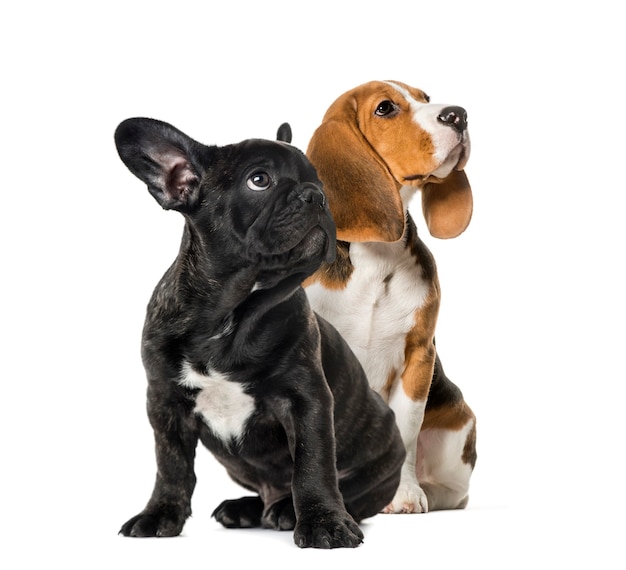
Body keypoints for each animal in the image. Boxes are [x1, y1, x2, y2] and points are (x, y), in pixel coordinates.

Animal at [114, 116, 402, 544]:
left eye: (319, 180)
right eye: (259, 180)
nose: (316, 196)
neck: (231, 314)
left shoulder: (307, 399)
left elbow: (313, 464)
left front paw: (324, 523)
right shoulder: (165, 402)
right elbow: (171, 465)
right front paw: (160, 514)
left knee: (341, 491)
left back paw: (288, 510)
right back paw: (248, 508)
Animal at [300, 79, 476, 510]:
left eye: (426, 98)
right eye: (385, 108)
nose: (459, 115)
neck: (375, 256)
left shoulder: (418, 356)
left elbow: (406, 432)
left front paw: (405, 492)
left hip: (460, 421)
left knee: (455, 493)